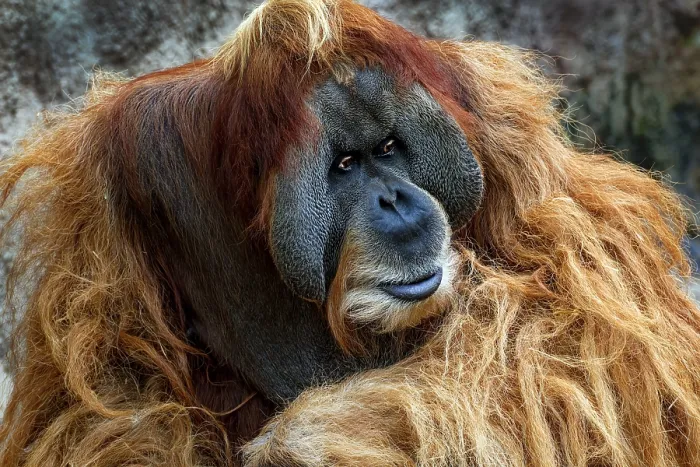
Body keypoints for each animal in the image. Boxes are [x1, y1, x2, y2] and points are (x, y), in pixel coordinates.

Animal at [1, 0, 699, 466]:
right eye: (343, 165)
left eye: (389, 148)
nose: (397, 203)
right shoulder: (120, 172)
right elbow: (108, 399)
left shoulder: (495, 120)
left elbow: (588, 331)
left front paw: (301, 442)